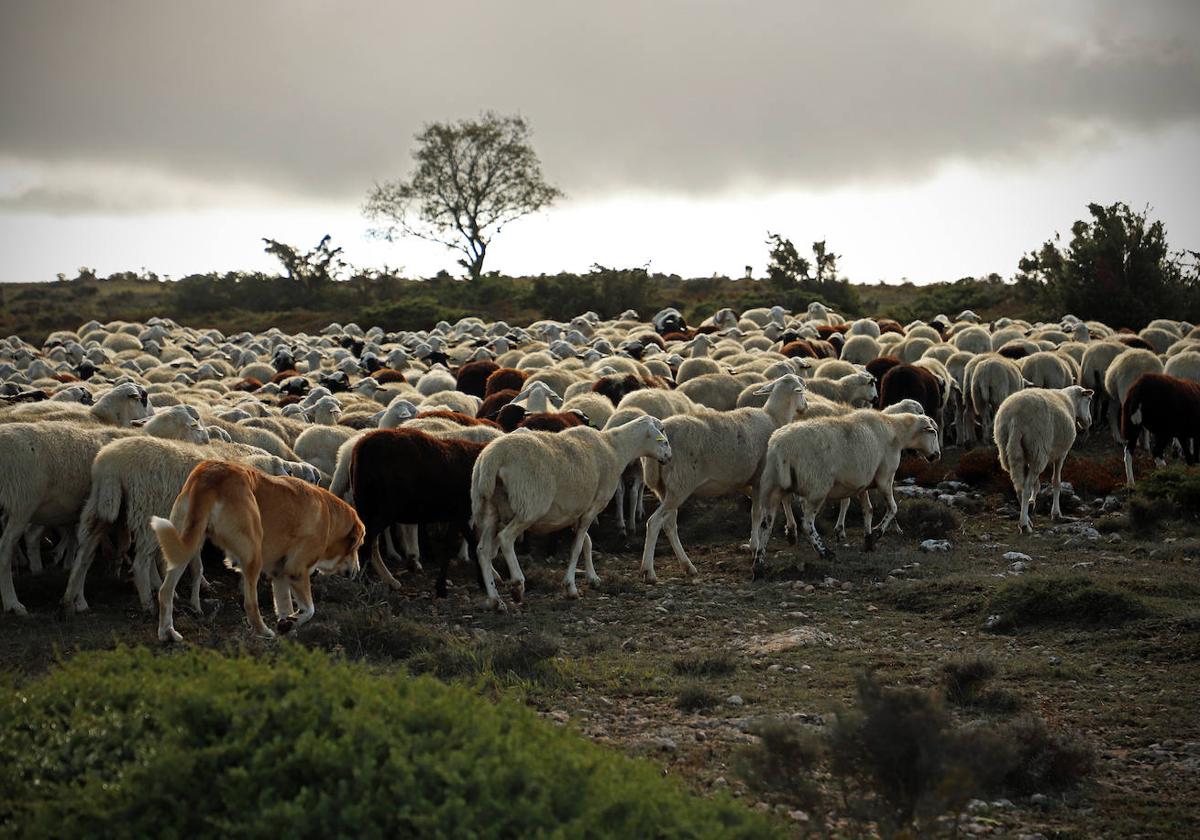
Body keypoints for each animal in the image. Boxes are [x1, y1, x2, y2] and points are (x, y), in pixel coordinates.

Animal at [152, 458, 362, 643]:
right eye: (359, 546)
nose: (357, 571)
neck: (329, 515)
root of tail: (211, 475)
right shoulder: (296, 570)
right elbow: (310, 609)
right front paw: (291, 624)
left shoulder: (279, 575)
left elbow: (285, 607)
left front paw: (288, 628)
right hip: (253, 554)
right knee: (250, 604)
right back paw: (263, 631)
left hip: (184, 546)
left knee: (165, 591)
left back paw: (167, 632)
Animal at [470, 415, 676, 607]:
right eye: (663, 434)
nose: (669, 456)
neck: (615, 449)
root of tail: (492, 459)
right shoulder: (593, 507)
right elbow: (576, 548)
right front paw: (571, 587)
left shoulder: (576, 511)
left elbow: (587, 542)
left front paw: (593, 578)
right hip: (529, 506)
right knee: (505, 539)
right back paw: (517, 585)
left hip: (490, 508)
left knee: (482, 550)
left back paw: (495, 600)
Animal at [638, 376, 806, 583]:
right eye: (802, 391)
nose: (806, 406)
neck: (773, 417)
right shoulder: (761, 478)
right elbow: (758, 513)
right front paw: (758, 544)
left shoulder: (746, 481)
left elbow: (771, 504)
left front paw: (785, 533)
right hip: (680, 484)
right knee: (654, 523)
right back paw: (649, 572)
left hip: (665, 489)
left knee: (669, 525)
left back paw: (687, 566)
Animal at [753, 412, 940, 573]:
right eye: (934, 433)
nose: (937, 455)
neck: (896, 431)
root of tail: (781, 448)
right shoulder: (885, 477)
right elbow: (893, 508)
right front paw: (877, 533)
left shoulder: (863, 482)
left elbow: (868, 510)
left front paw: (868, 540)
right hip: (817, 488)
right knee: (807, 524)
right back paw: (825, 552)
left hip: (772, 486)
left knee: (766, 525)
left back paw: (758, 566)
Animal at [988, 386, 1094, 530]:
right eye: (1088, 399)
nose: (1089, 421)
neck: (1070, 401)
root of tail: (1016, 416)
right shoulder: (1061, 454)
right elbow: (1056, 482)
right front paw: (1056, 513)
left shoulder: (1030, 457)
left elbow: (1037, 484)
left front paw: (1033, 502)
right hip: (1038, 447)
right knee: (1025, 488)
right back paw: (1024, 525)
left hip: (1010, 447)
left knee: (1019, 488)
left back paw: (1027, 519)